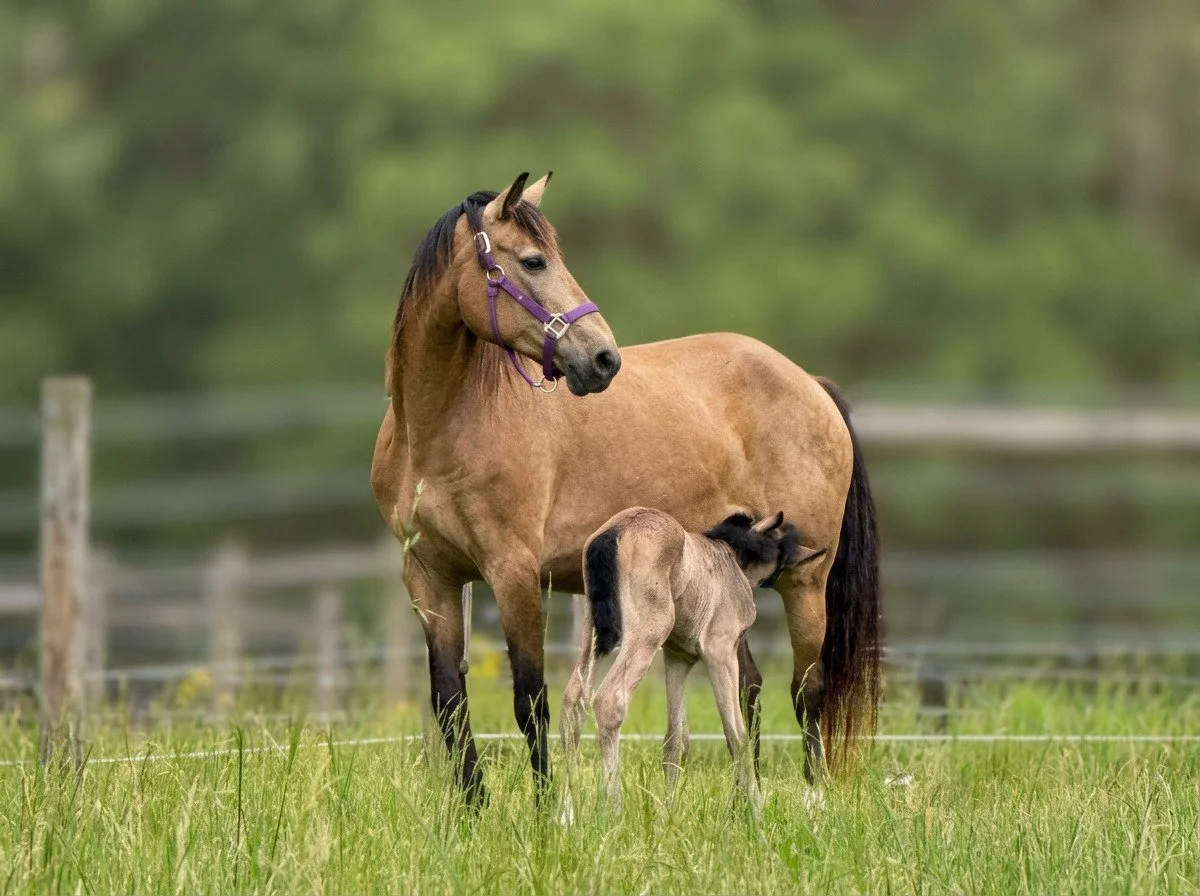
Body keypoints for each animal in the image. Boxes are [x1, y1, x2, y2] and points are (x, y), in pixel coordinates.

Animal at [560, 508, 823, 814]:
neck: (731, 557)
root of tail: (614, 532)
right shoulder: (720, 650)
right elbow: (738, 736)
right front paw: (757, 810)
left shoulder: (677, 658)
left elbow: (676, 740)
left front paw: (668, 813)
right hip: (647, 633)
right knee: (608, 700)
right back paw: (612, 808)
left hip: (593, 633)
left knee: (573, 703)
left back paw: (565, 813)